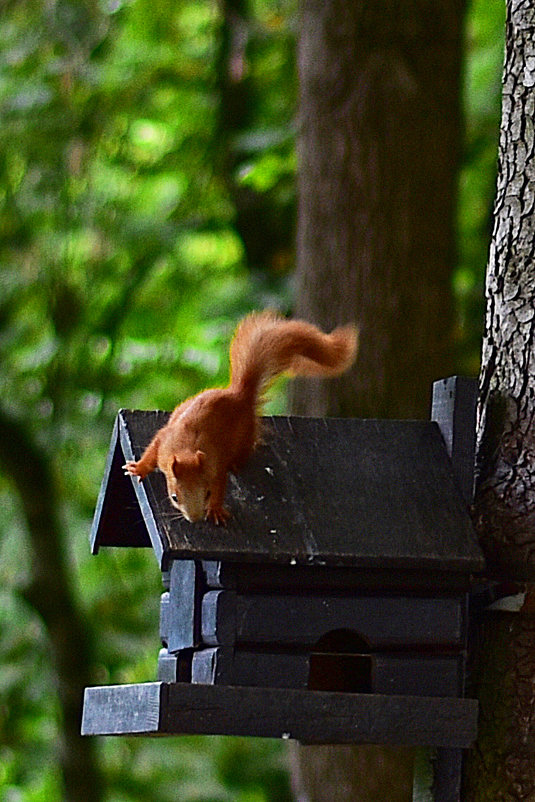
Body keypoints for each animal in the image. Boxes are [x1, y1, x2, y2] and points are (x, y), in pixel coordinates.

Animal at [123, 310, 358, 524]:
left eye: (207, 493)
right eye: (174, 497)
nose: (196, 519)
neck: (185, 449)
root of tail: (240, 394)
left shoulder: (215, 466)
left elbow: (221, 485)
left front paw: (216, 509)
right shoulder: (164, 443)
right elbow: (151, 452)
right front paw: (137, 468)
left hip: (244, 435)